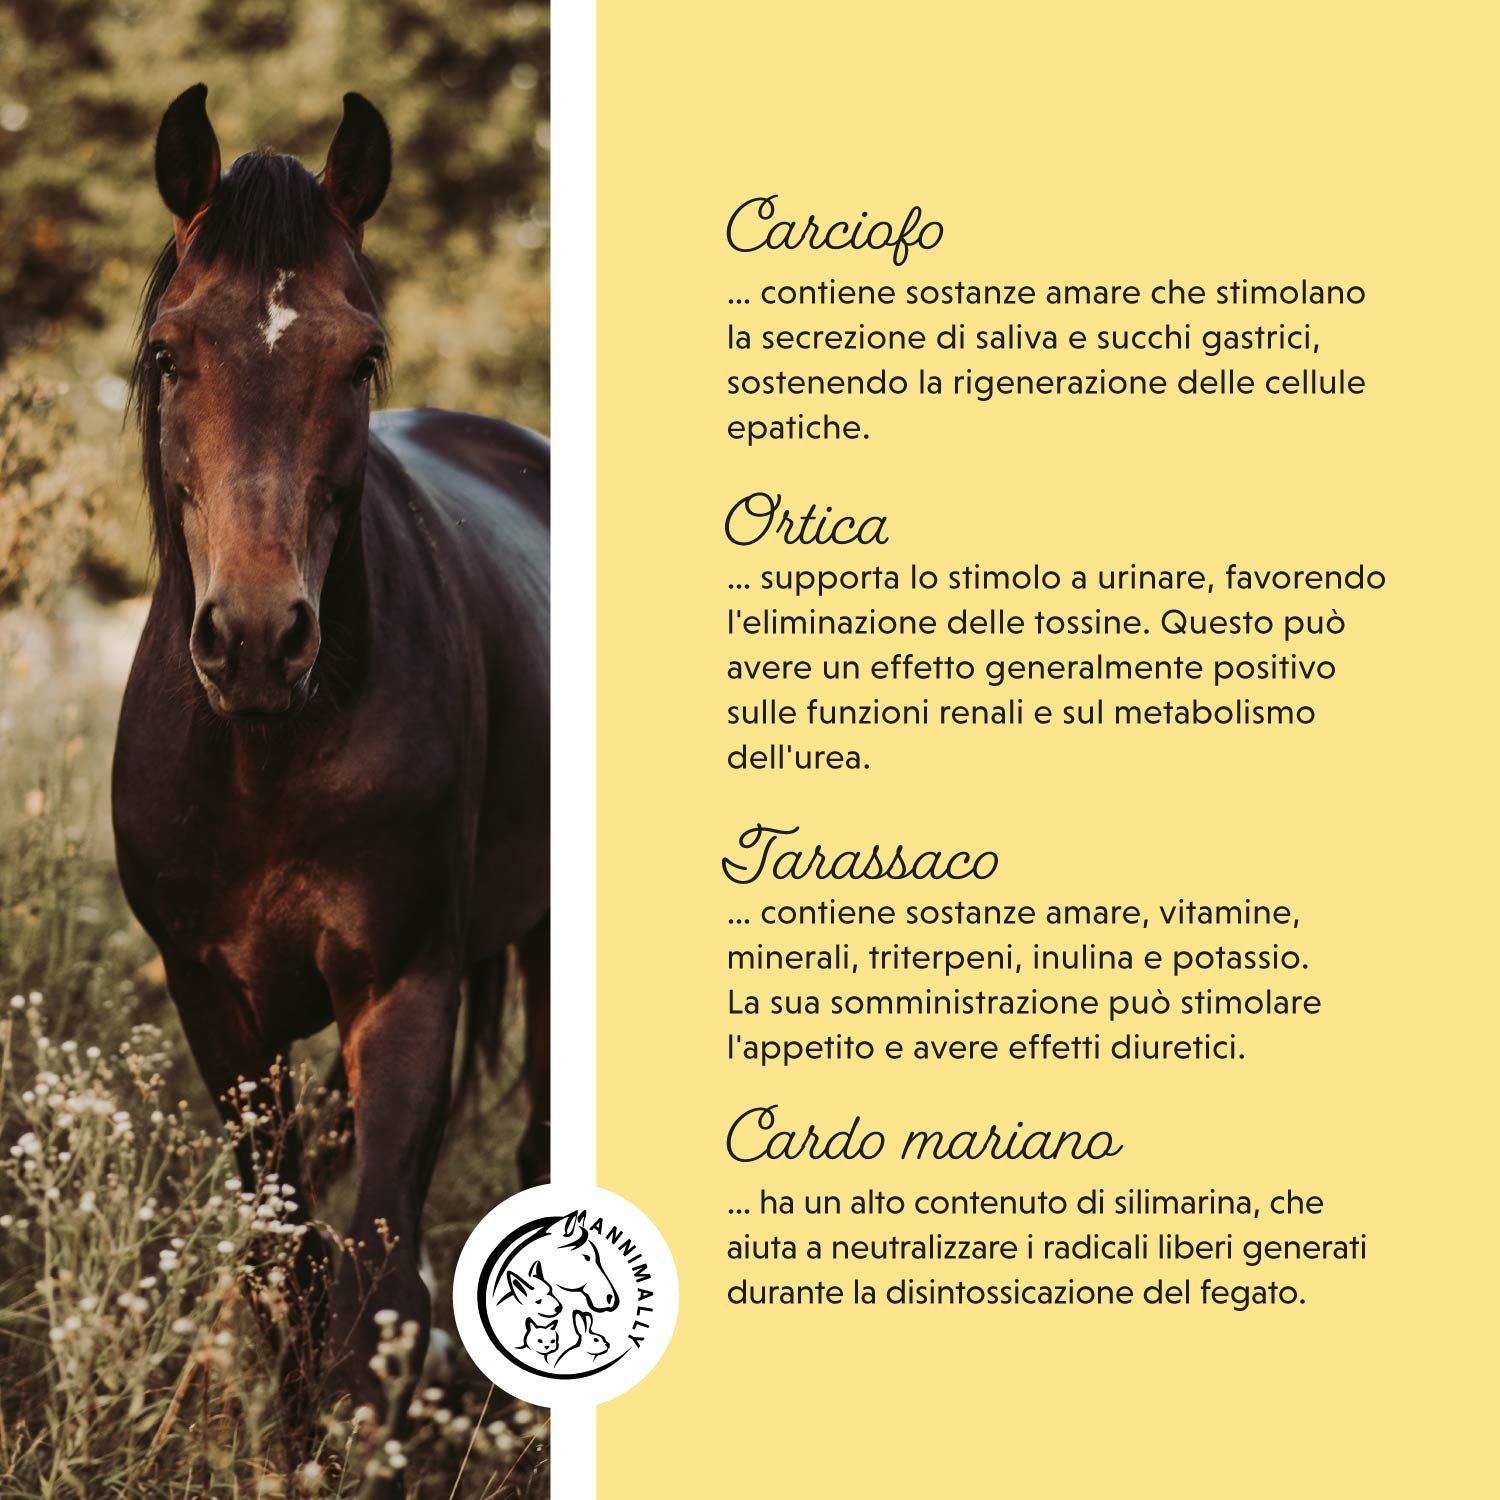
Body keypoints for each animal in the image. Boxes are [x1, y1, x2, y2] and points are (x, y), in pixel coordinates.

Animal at [111, 83, 550, 1448]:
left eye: (360, 358)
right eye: (167, 355)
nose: (257, 638)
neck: (266, 754)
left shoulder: (404, 988)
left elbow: (376, 1284)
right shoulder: (218, 1009)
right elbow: (287, 1270)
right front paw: (302, 1444)